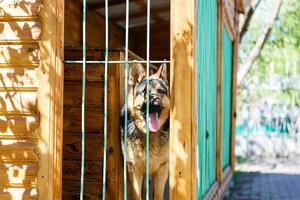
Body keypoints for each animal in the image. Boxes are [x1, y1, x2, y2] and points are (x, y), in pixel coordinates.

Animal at [120, 63, 170, 199]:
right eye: (145, 92)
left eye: (161, 92)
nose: (156, 105)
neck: (150, 134)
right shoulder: (134, 170)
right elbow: (137, 195)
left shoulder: (161, 170)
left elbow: (157, 195)